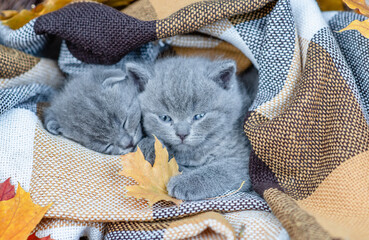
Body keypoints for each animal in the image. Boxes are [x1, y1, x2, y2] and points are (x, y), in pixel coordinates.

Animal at [126, 56, 253, 201]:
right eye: (165, 118)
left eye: (199, 116)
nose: (182, 134)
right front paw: (151, 148)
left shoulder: (242, 160)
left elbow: (221, 170)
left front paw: (185, 182)